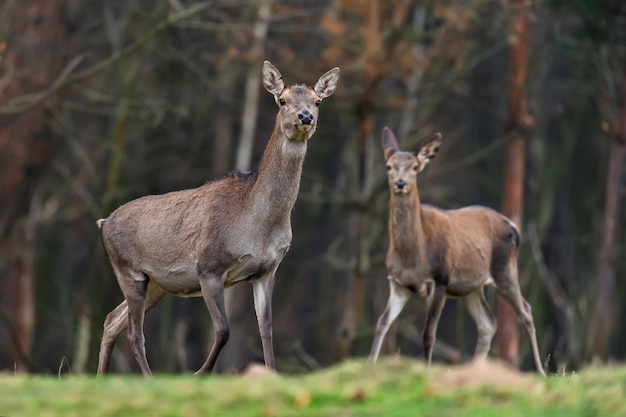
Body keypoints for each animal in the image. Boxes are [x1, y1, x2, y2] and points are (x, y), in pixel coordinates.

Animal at [95, 60, 338, 376]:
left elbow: (266, 329)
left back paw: (100, 378)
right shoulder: (209, 266)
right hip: (129, 271)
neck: (259, 225)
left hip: (156, 284)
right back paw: (148, 379)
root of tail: (103, 223)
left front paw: (271, 373)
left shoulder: (267, 271)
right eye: (282, 100)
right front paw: (200, 373)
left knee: (112, 319)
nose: (305, 116)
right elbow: (223, 329)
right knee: (135, 333)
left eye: (318, 101)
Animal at [366, 126, 540, 374]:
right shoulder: (398, 283)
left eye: (415, 167)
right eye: (389, 166)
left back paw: (540, 370)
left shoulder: (439, 279)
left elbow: (428, 334)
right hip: (470, 287)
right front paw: (368, 365)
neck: (412, 256)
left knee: (525, 310)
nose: (400, 183)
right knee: (489, 322)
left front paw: (426, 368)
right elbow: (382, 323)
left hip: (504, 269)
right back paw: (476, 368)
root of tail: (514, 227)